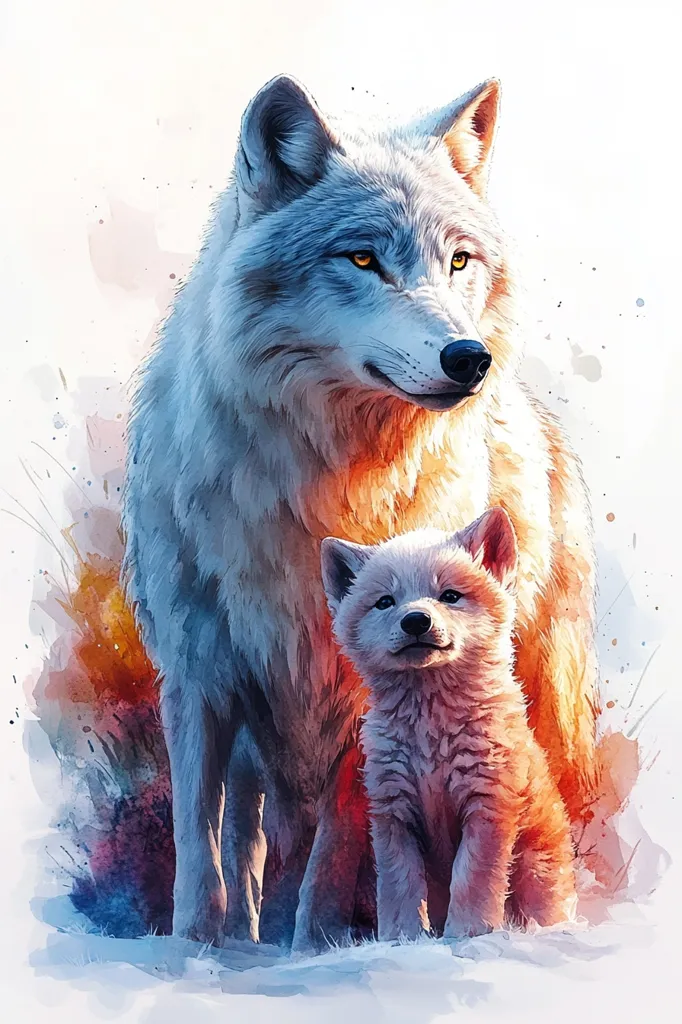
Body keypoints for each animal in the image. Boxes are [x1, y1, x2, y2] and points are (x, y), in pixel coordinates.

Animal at [321, 507, 577, 940]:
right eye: (385, 602)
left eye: (450, 596)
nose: (415, 620)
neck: (430, 734)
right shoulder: (393, 814)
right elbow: (400, 888)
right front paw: (401, 940)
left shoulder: (486, 805)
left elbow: (472, 881)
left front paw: (468, 934)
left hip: (537, 870)